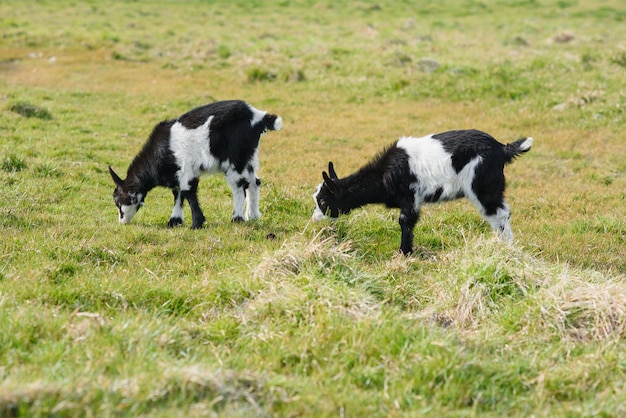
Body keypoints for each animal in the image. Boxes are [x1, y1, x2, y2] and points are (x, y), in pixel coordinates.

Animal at [108, 99, 282, 229]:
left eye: (119, 202)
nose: (121, 221)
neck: (161, 152)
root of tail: (257, 117)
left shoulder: (186, 170)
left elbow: (188, 193)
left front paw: (196, 224)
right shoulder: (176, 174)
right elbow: (178, 195)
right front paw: (174, 221)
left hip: (234, 159)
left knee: (239, 185)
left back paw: (237, 218)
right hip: (248, 157)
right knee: (254, 183)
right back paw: (252, 216)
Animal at [312, 130, 532, 255]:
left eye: (322, 202)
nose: (313, 220)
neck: (384, 174)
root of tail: (502, 149)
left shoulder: (411, 197)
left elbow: (405, 221)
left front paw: (404, 253)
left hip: (483, 185)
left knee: (498, 214)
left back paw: (506, 249)